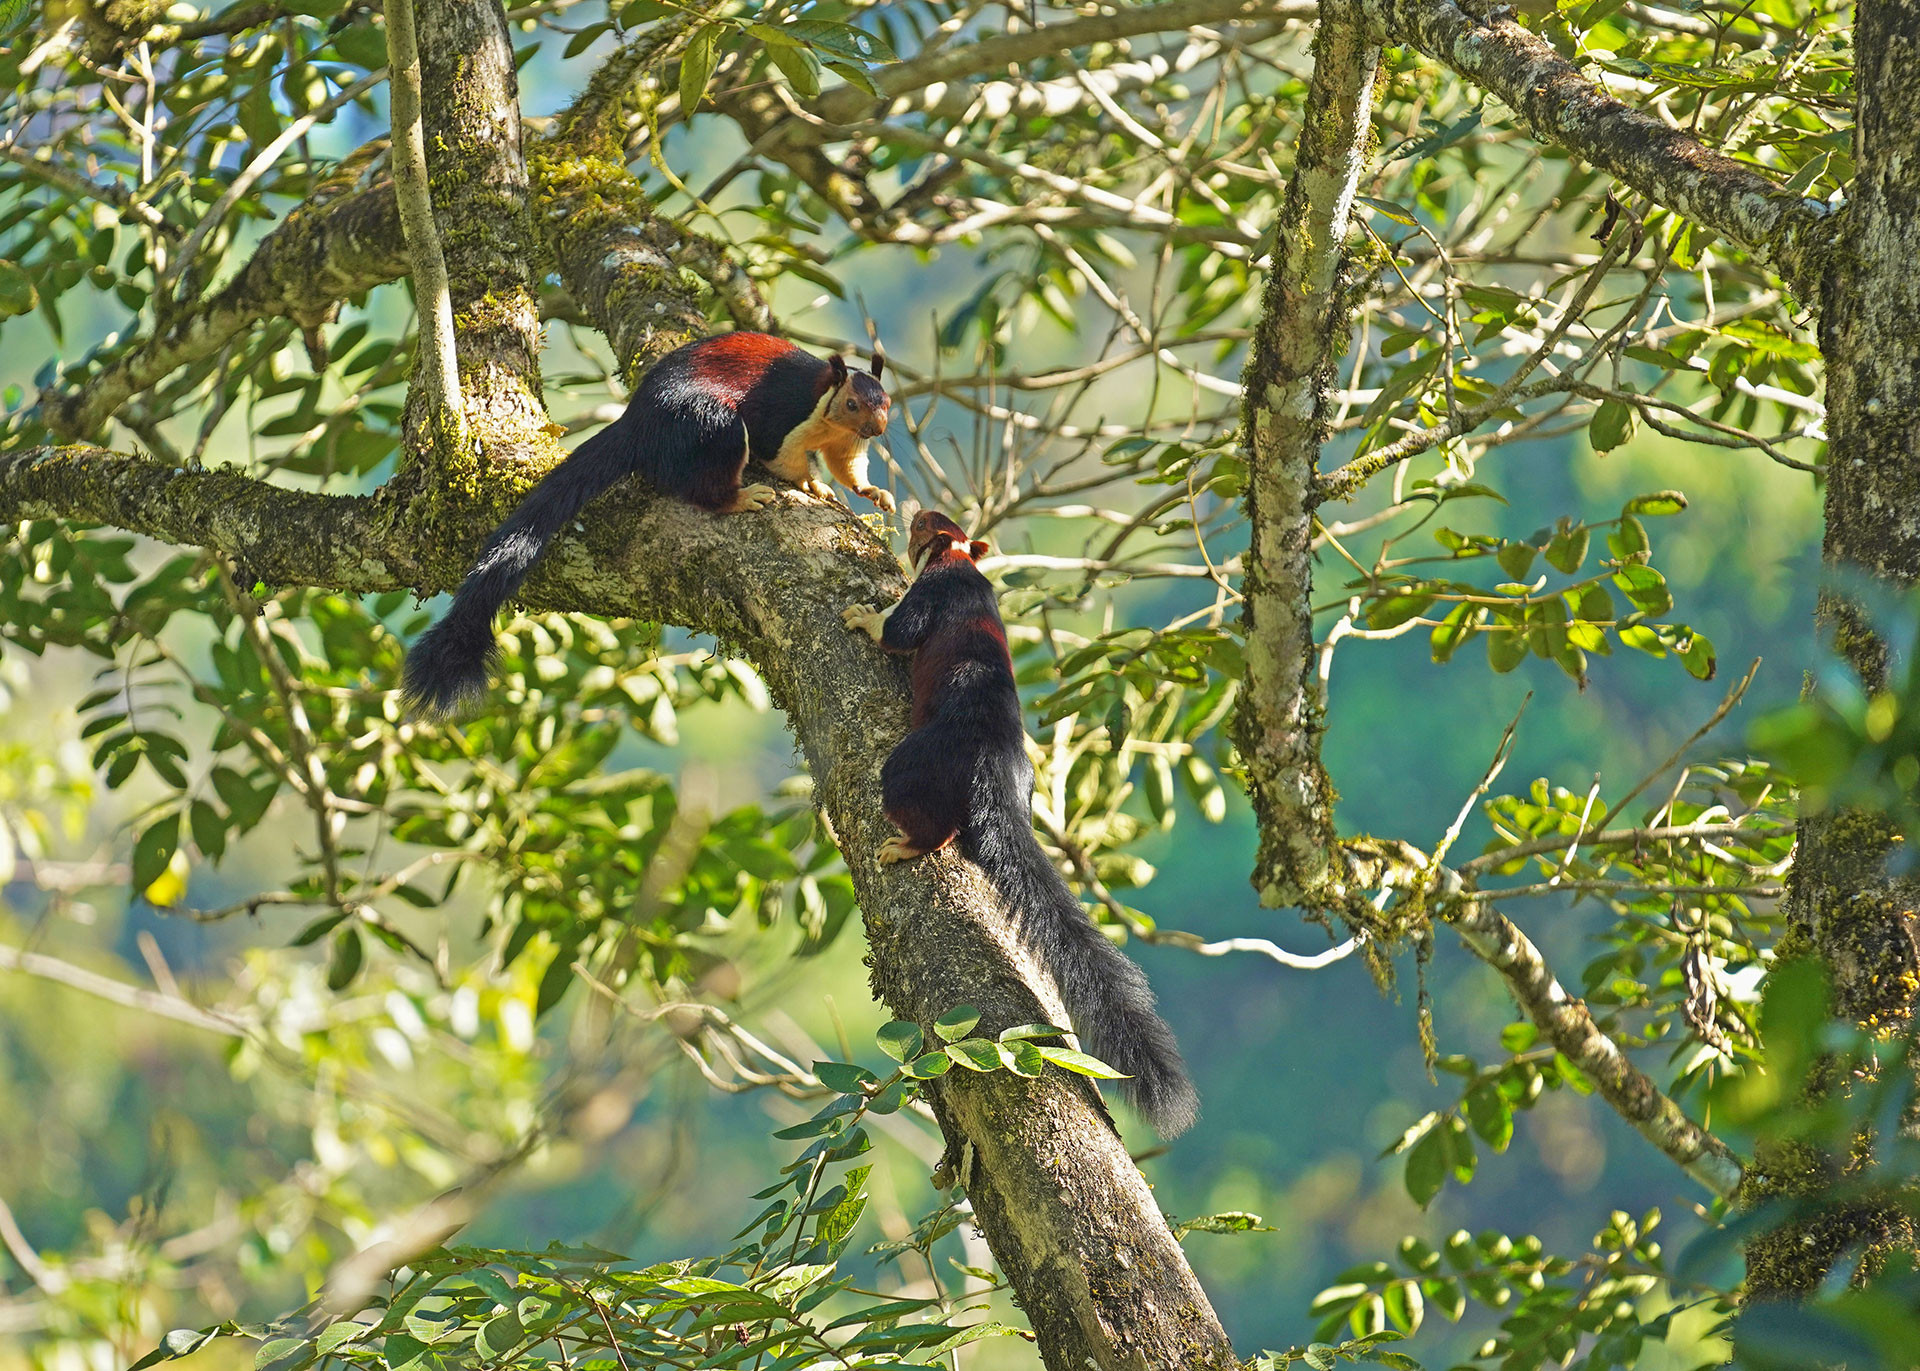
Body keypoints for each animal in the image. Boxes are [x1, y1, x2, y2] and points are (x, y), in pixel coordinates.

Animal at [402, 332, 892, 716]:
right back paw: (740, 498)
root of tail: (637, 423)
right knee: (707, 482)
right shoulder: (785, 420)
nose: (879, 428)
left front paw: (872, 493)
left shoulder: (845, 442)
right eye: (851, 403)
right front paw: (812, 483)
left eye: (885, 401)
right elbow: (785, 460)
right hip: (711, 422)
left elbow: (849, 466)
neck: (824, 409)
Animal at [844, 509, 1199, 1137]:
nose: (913, 514)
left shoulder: (932, 594)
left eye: (925, 525)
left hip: (911, 766)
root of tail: (997, 767)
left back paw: (905, 847)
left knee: (936, 827)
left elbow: (899, 632)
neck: (961, 563)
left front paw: (863, 615)